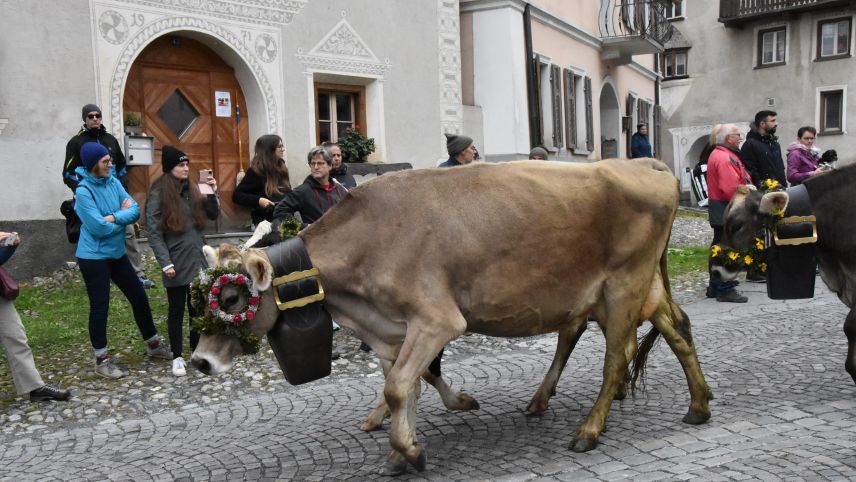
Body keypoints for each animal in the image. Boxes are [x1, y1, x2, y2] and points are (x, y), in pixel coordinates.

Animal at [191, 161, 712, 474]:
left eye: (231, 298)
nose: (198, 361)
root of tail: (644, 163)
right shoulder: (392, 329)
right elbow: (408, 386)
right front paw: (403, 446)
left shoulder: (437, 319)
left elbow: (398, 386)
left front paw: (410, 451)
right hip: (632, 288)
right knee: (676, 329)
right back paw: (698, 405)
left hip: (624, 285)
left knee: (615, 358)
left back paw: (588, 431)